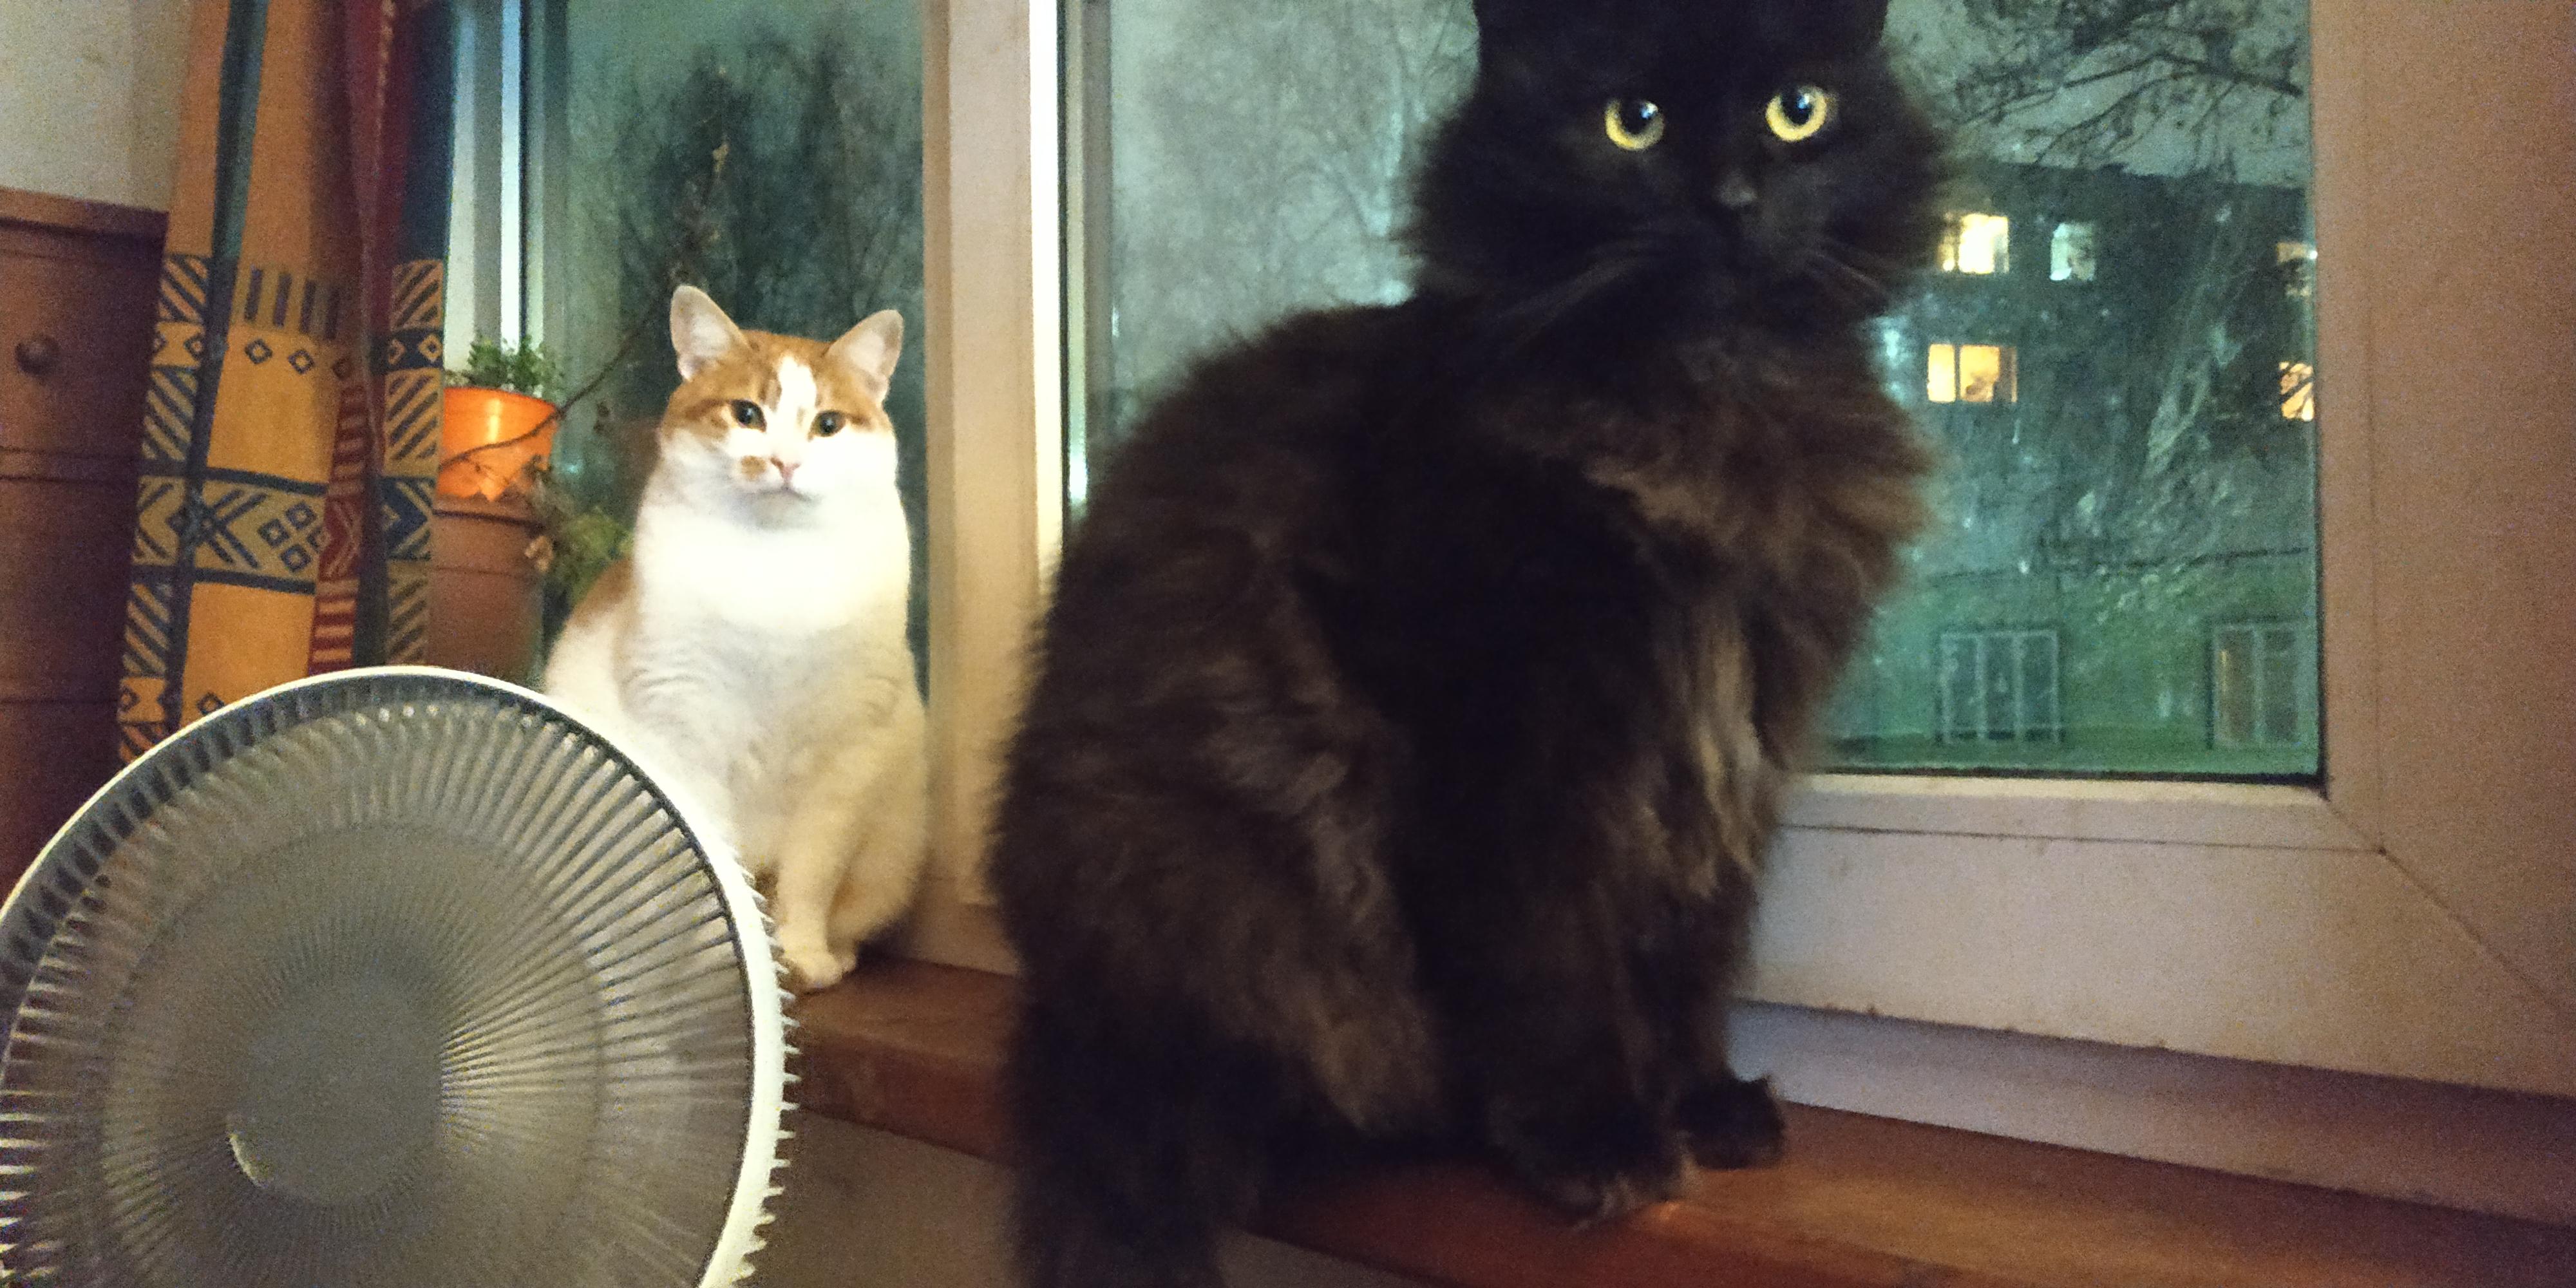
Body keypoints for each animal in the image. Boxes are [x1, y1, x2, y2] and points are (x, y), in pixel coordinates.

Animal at [543, 285, 929, 994]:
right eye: (746, 414)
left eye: (828, 424)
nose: (784, 462)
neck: (771, 566)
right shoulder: (686, 733)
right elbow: (719, 871)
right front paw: (730, 961)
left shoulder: (843, 761)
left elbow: (809, 878)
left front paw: (803, 956)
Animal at [986, 0, 1943, 1283]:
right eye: (1632, 122)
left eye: (1801, 109)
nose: (1735, 199)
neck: (1708, 409)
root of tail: (1069, 1026)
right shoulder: (1511, 747)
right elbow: (1552, 964)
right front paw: (1597, 1137)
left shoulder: (1733, 751)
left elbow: (1692, 954)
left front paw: (1701, 1101)